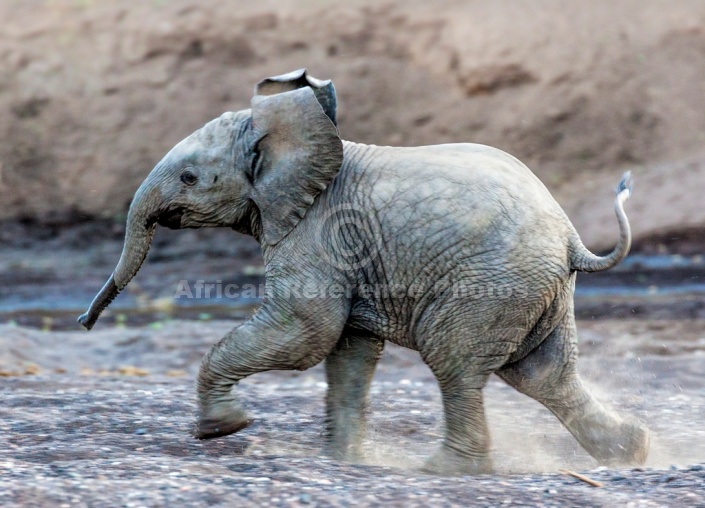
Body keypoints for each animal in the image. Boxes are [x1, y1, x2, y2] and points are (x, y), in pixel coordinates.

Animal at [78, 69, 648, 474]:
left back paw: (445, 470)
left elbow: (306, 333)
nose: (84, 322)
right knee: (543, 374)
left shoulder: (317, 232)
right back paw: (632, 453)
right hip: (534, 290)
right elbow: (347, 350)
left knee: (457, 364)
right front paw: (341, 461)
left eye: (190, 178)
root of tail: (572, 239)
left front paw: (223, 430)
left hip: (491, 285)